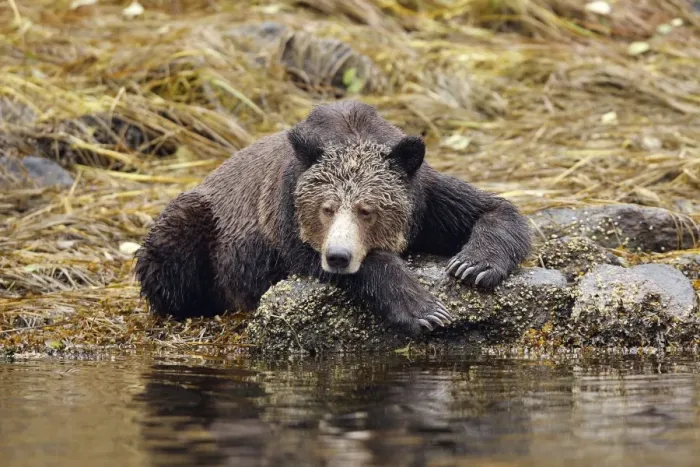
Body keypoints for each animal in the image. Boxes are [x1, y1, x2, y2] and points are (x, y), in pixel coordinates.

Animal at [134, 100, 532, 335]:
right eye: (326, 208)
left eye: (367, 210)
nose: (338, 256)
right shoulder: (285, 212)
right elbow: (317, 258)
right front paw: (424, 309)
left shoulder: (427, 198)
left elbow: (493, 209)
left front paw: (473, 265)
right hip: (206, 225)